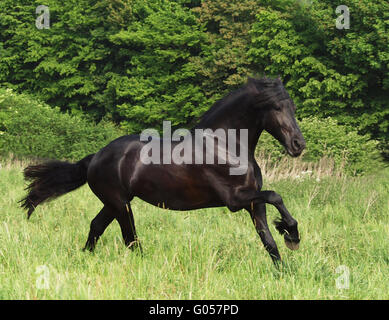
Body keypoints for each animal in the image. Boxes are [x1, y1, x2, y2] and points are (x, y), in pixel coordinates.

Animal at [21, 77, 304, 264]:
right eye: (276, 107)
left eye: (293, 107)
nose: (298, 145)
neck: (224, 146)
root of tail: (95, 157)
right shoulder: (234, 200)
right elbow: (276, 195)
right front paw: (292, 234)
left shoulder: (253, 203)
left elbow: (268, 240)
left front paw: (283, 265)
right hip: (120, 204)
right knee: (130, 238)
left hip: (114, 203)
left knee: (96, 226)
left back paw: (85, 258)